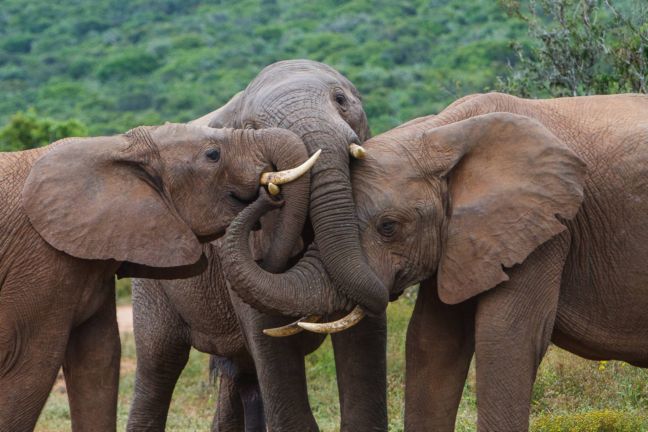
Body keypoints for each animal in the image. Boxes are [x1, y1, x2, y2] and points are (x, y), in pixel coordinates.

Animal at [0, 122, 314, 432]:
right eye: (213, 155)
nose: (271, 194)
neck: (116, 146)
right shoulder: (41, 260)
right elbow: (31, 368)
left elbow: (98, 361)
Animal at [129, 58, 388, 432]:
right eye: (252, 127)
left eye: (340, 99)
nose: (269, 194)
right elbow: (266, 335)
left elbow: (365, 333)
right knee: (159, 363)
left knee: (241, 376)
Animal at [221, 93, 648, 430]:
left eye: (388, 227)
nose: (268, 188)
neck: (442, 133)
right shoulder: (462, 240)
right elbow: (432, 341)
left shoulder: (546, 232)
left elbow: (505, 337)